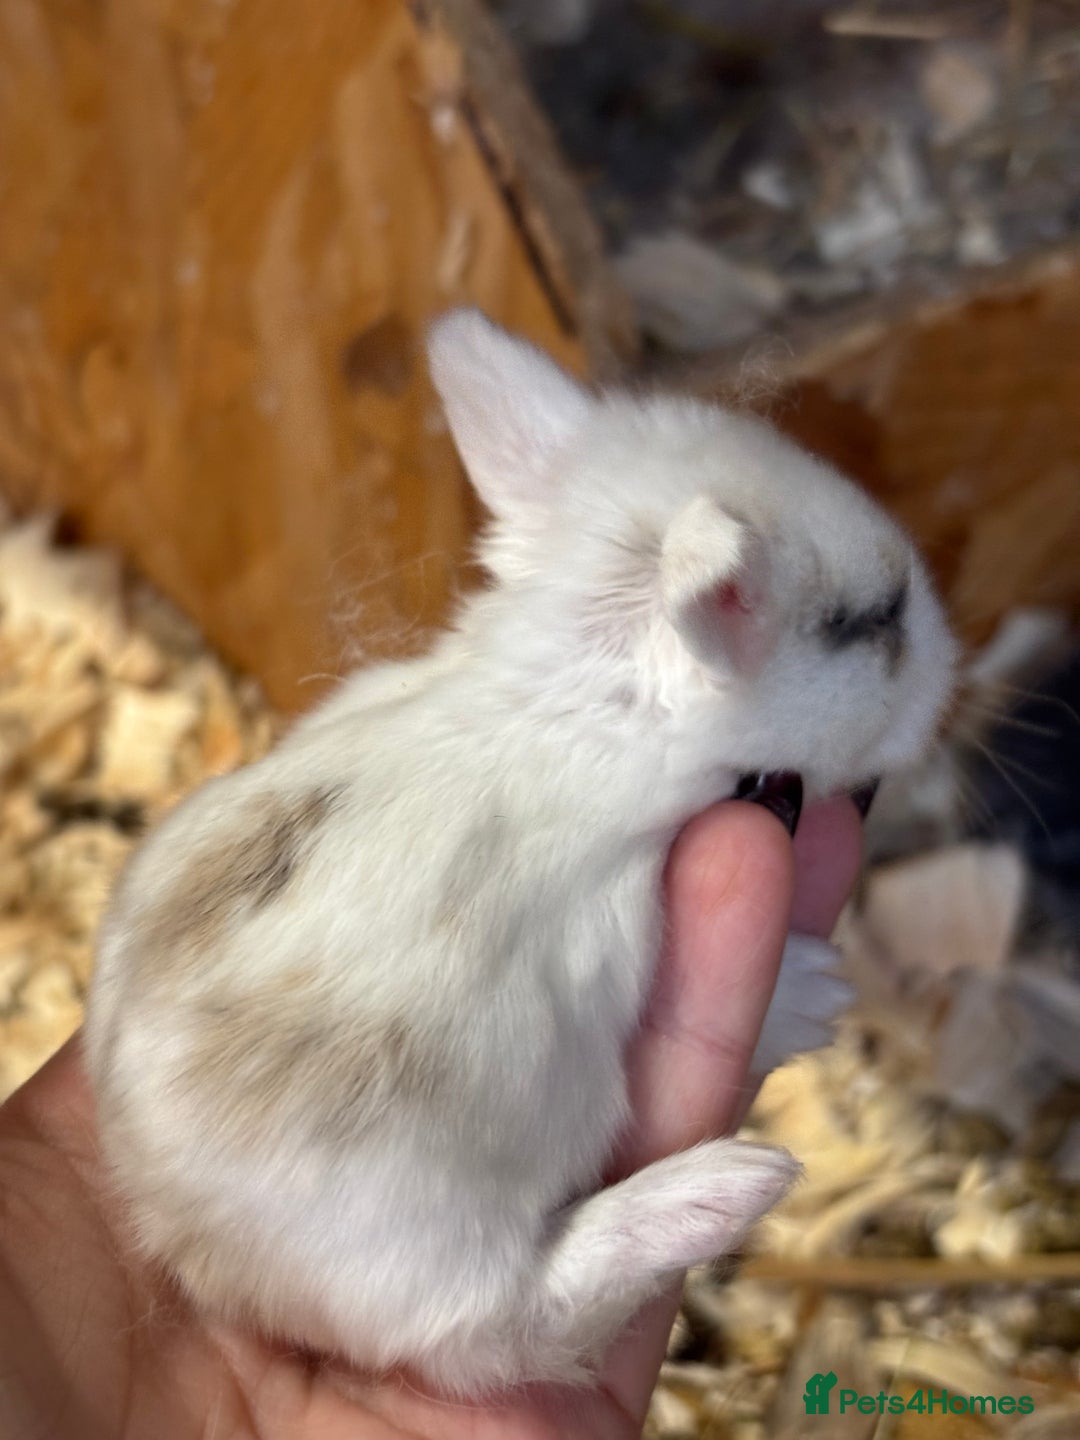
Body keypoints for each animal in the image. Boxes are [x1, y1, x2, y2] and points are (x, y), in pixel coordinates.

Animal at [85, 309, 956, 1395]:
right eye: (866, 622)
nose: (950, 657)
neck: (569, 696)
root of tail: (191, 1245)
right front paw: (816, 992)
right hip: (442, 1253)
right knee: (523, 1312)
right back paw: (729, 1182)